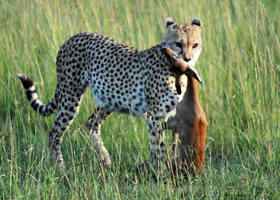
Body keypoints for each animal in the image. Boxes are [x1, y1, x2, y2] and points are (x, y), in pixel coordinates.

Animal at [17, 18, 202, 170]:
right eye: (178, 43)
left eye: (195, 45)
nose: (187, 59)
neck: (176, 68)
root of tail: (72, 37)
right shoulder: (154, 116)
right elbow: (158, 148)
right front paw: (160, 175)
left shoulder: (169, 115)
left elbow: (172, 144)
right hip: (71, 97)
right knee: (54, 133)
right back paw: (61, 170)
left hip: (110, 99)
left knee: (91, 123)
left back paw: (105, 159)